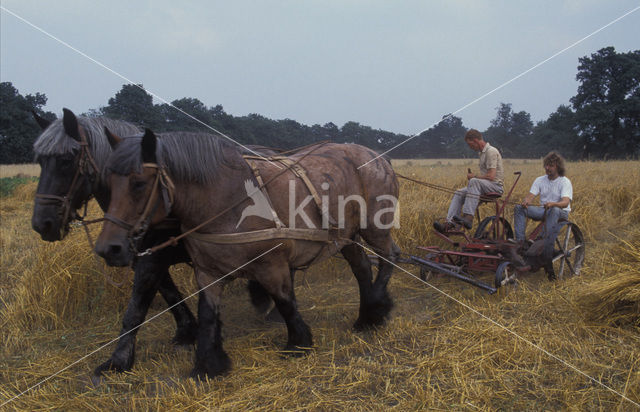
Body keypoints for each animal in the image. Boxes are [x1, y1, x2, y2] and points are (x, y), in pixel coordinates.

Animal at [95, 129, 400, 380]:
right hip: (345, 236)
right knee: (362, 268)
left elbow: (285, 302)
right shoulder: (207, 272)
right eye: (107, 182)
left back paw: (377, 303)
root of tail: (378, 157)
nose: (108, 248)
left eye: (139, 183)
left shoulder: (271, 265)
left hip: (374, 228)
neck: (226, 199)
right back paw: (367, 316)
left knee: (390, 257)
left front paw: (298, 343)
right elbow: (207, 314)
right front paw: (208, 364)